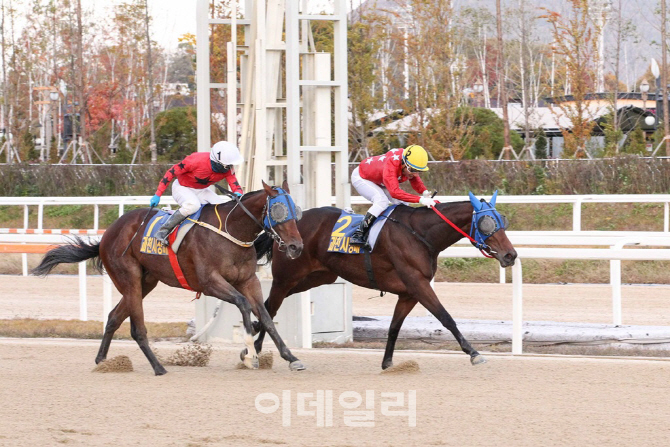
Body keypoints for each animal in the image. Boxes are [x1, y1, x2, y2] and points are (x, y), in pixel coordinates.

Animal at [30, 181, 304, 374]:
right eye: (279, 210)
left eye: (297, 211)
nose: (296, 247)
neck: (230, 230)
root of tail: (107, 234)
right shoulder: (210, 282)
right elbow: (244, 304)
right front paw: (249, 355)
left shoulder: (248, 281)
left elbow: (266, 317)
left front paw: (291, 357)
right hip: (129, 278)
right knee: (136, 328)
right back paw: (158, 367)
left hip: (146, 281)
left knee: (114, 317)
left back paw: (103, 362)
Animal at [253, 192, 520, 372]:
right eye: (488, 224)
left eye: (502, 220)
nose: (510, 255)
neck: (420, 234)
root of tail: (282, 227)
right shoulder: (418, 285)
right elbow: (446, 318)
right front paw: (474, 353)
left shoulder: (409, 293)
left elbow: (394, 327)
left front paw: (388, 362)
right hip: (287, 277)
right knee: (270, 307)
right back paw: (260, 350)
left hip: (317, 277)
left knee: (268, 305)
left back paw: (255, 335)